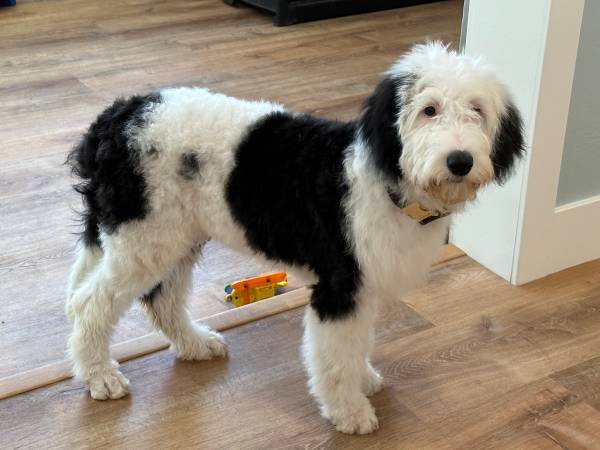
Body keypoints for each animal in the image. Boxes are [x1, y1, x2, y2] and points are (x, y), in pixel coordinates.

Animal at [65, 43, 524, 436]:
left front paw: (364, 379)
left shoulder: (363, 289)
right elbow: (335, 356)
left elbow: (357, 344)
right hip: (145, 239)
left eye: (477, 110)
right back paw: (100, 376)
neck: (383, 179)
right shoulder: (339, 287)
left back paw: (195, 344)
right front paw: (349, 411)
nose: (460, 161)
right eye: (429, 110)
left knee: (158, 301)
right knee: (89, 304)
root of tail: (120, 115)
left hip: (172, 235)